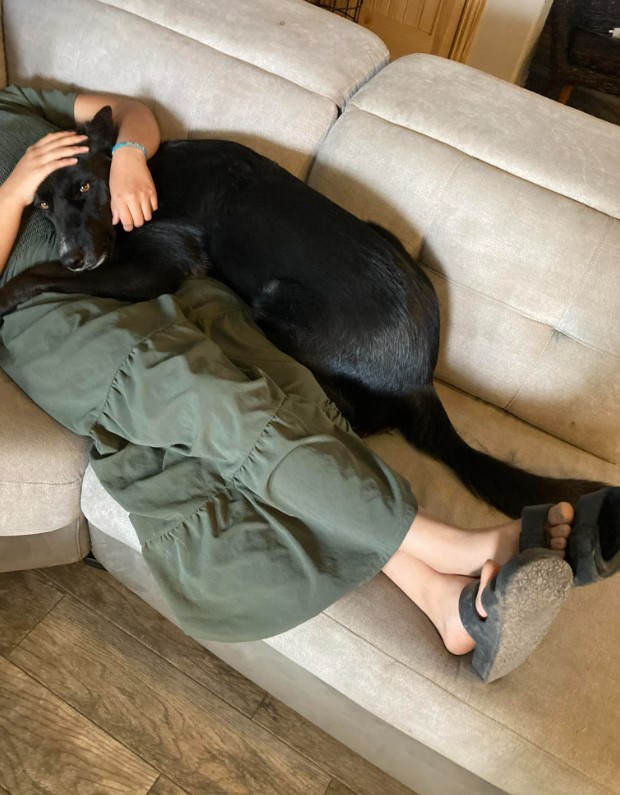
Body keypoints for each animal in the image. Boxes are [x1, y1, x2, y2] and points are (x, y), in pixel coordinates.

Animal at [0, 109, 604, 520]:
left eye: (84, 186)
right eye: (43, 204)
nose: (74, 256)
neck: (146, 177)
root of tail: (422, 376)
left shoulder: (156, 271)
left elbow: (42, 275)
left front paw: (8, 291)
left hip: (274, 299)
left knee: (363, 417)